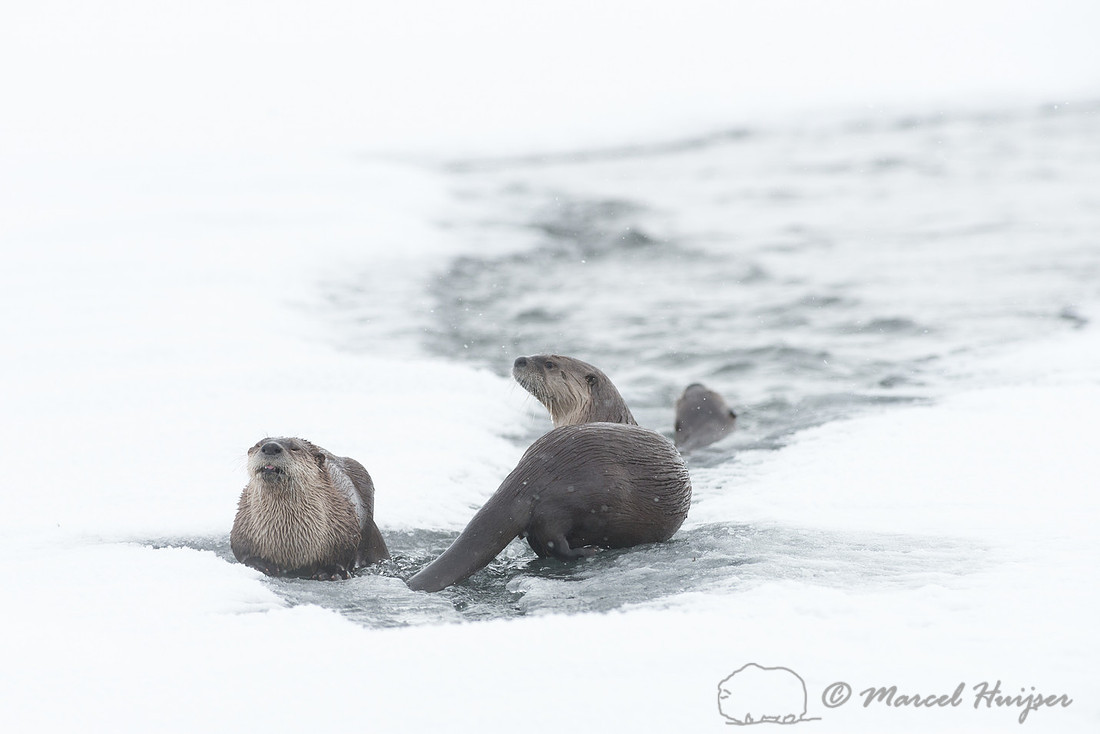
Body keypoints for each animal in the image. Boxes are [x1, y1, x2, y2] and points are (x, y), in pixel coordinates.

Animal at [230, 437, 389, 580]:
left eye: (295, 448)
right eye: (259, 444)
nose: (270, 447)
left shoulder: (344, 531)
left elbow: (340, 558)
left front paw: (330, 571)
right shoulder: (244, 528)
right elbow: (243, 553)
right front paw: (260, 565)